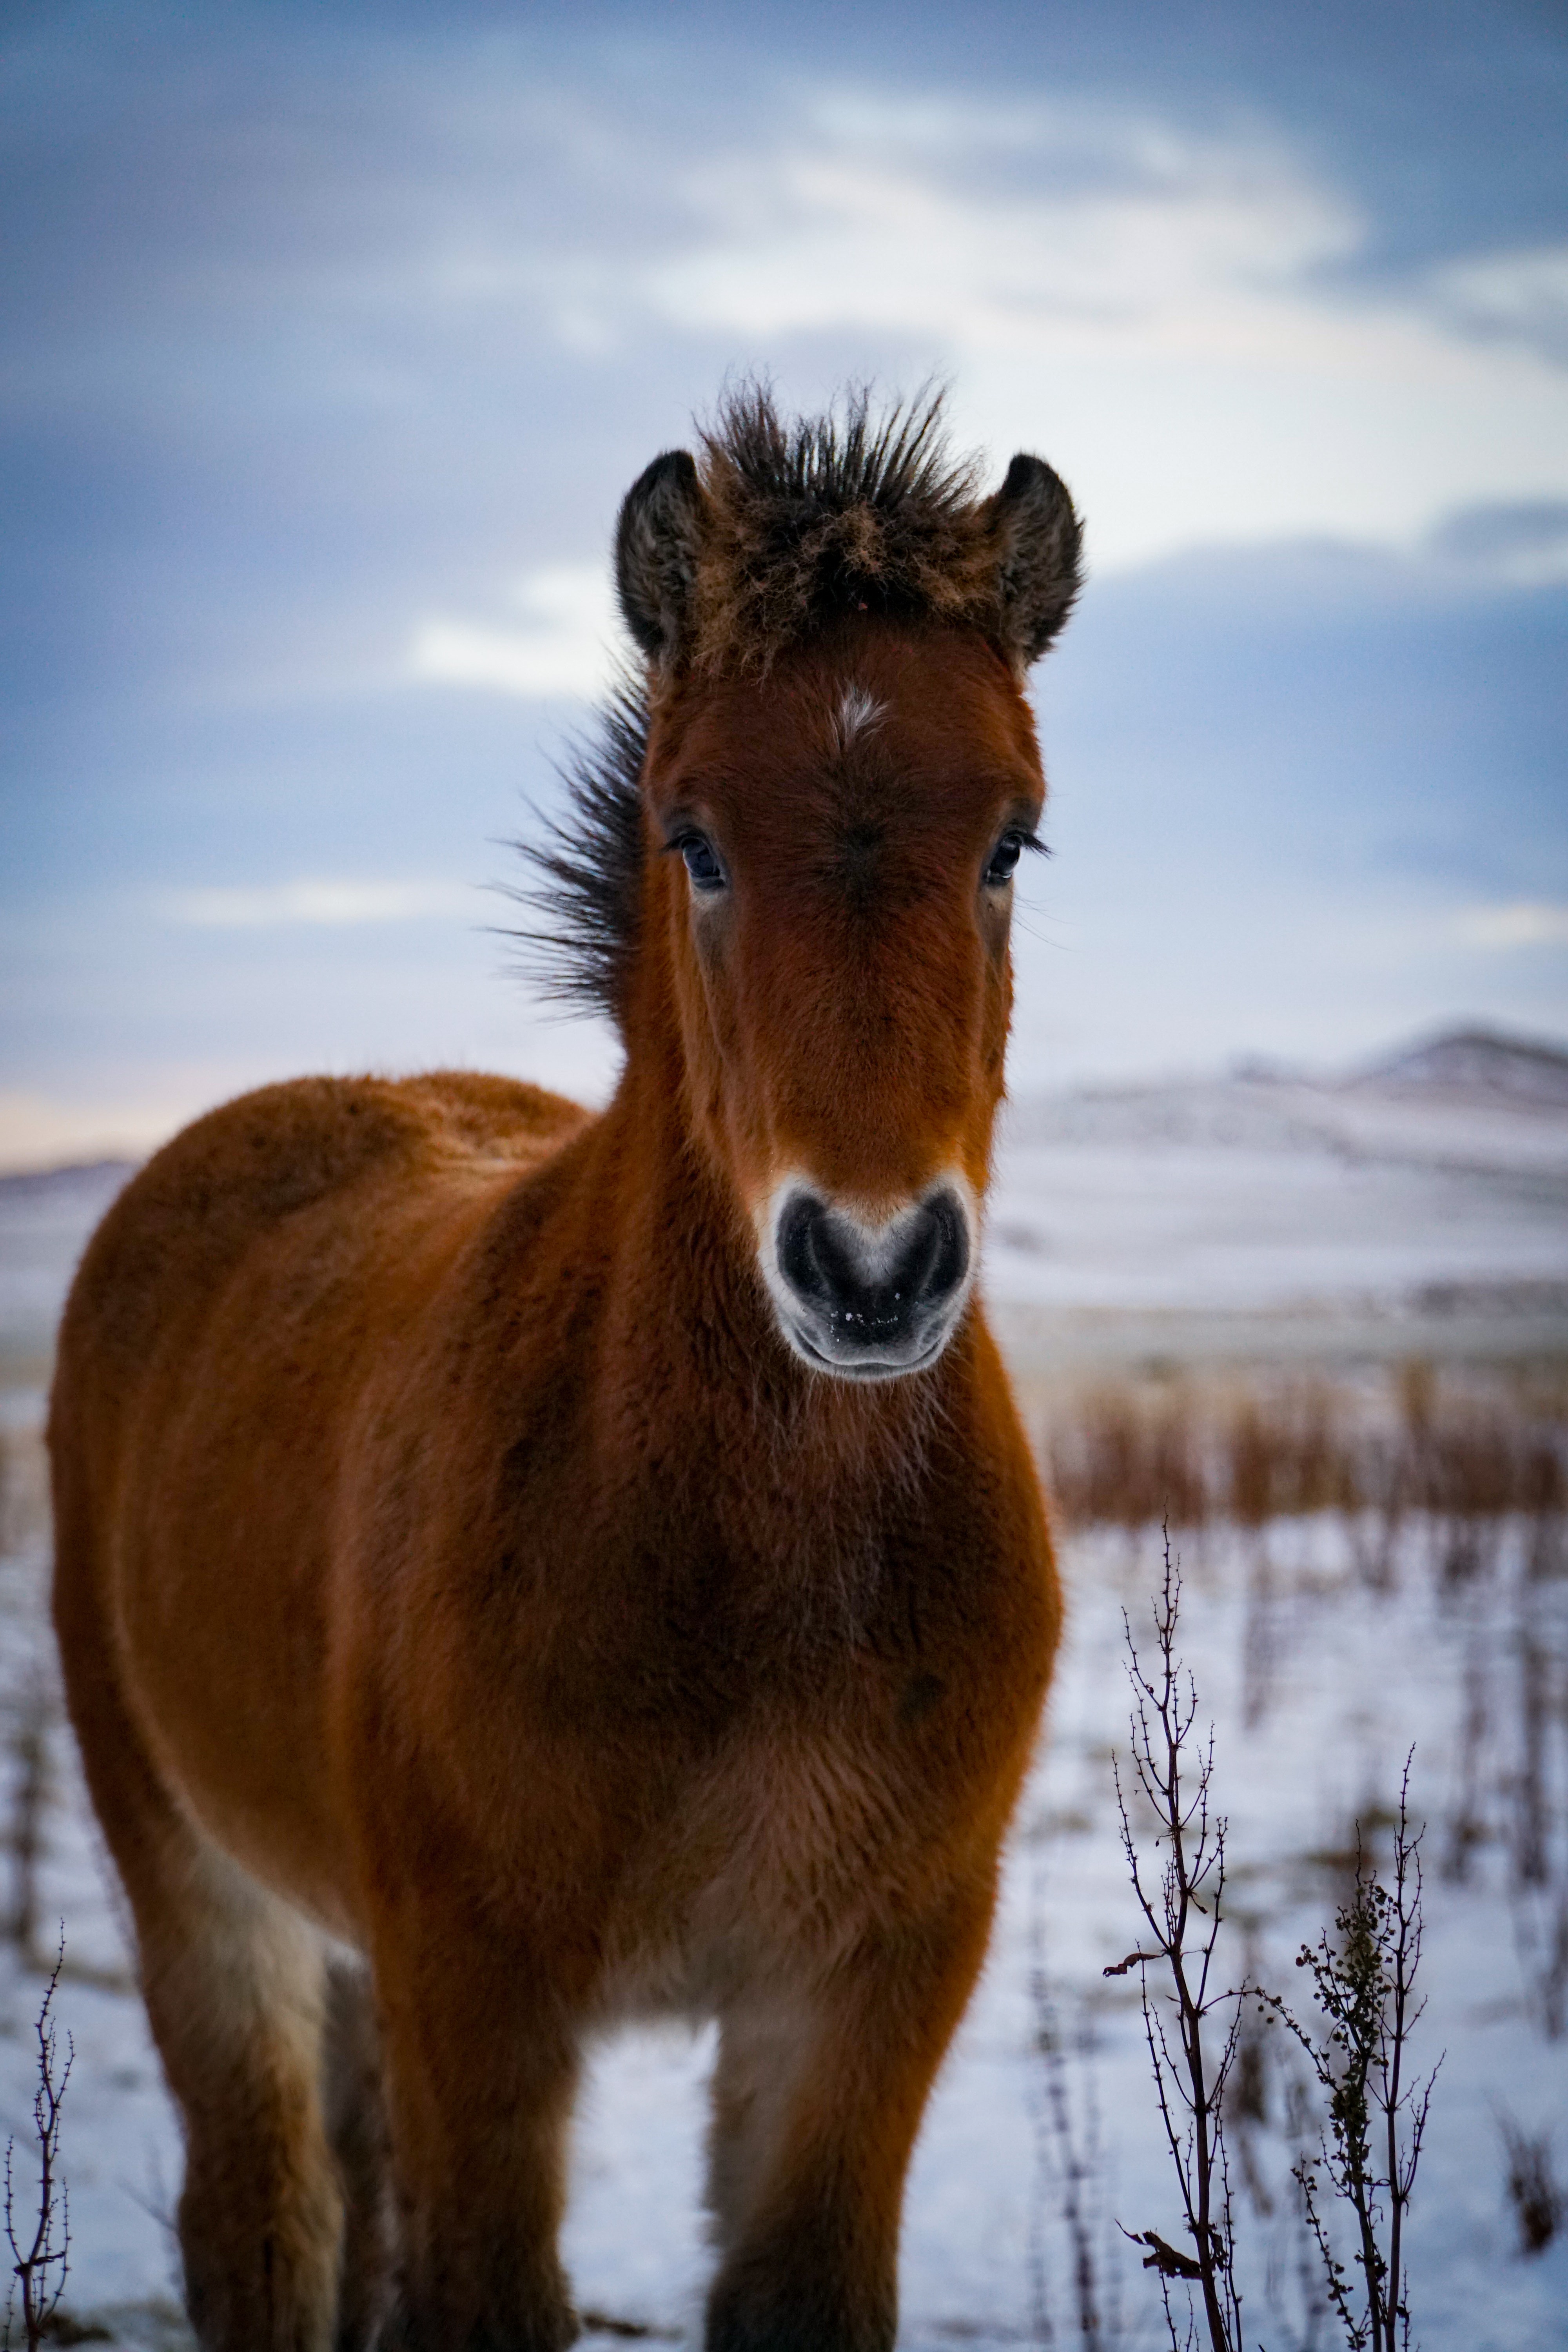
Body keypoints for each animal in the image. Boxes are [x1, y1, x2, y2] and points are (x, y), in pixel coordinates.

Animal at [46, 390, 1081, 2352]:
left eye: (1011, 844)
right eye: (692, 839)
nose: (871, 1267)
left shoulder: (869, 1987)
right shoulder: (479, 1992)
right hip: (201, 1884)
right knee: (268, 2222)